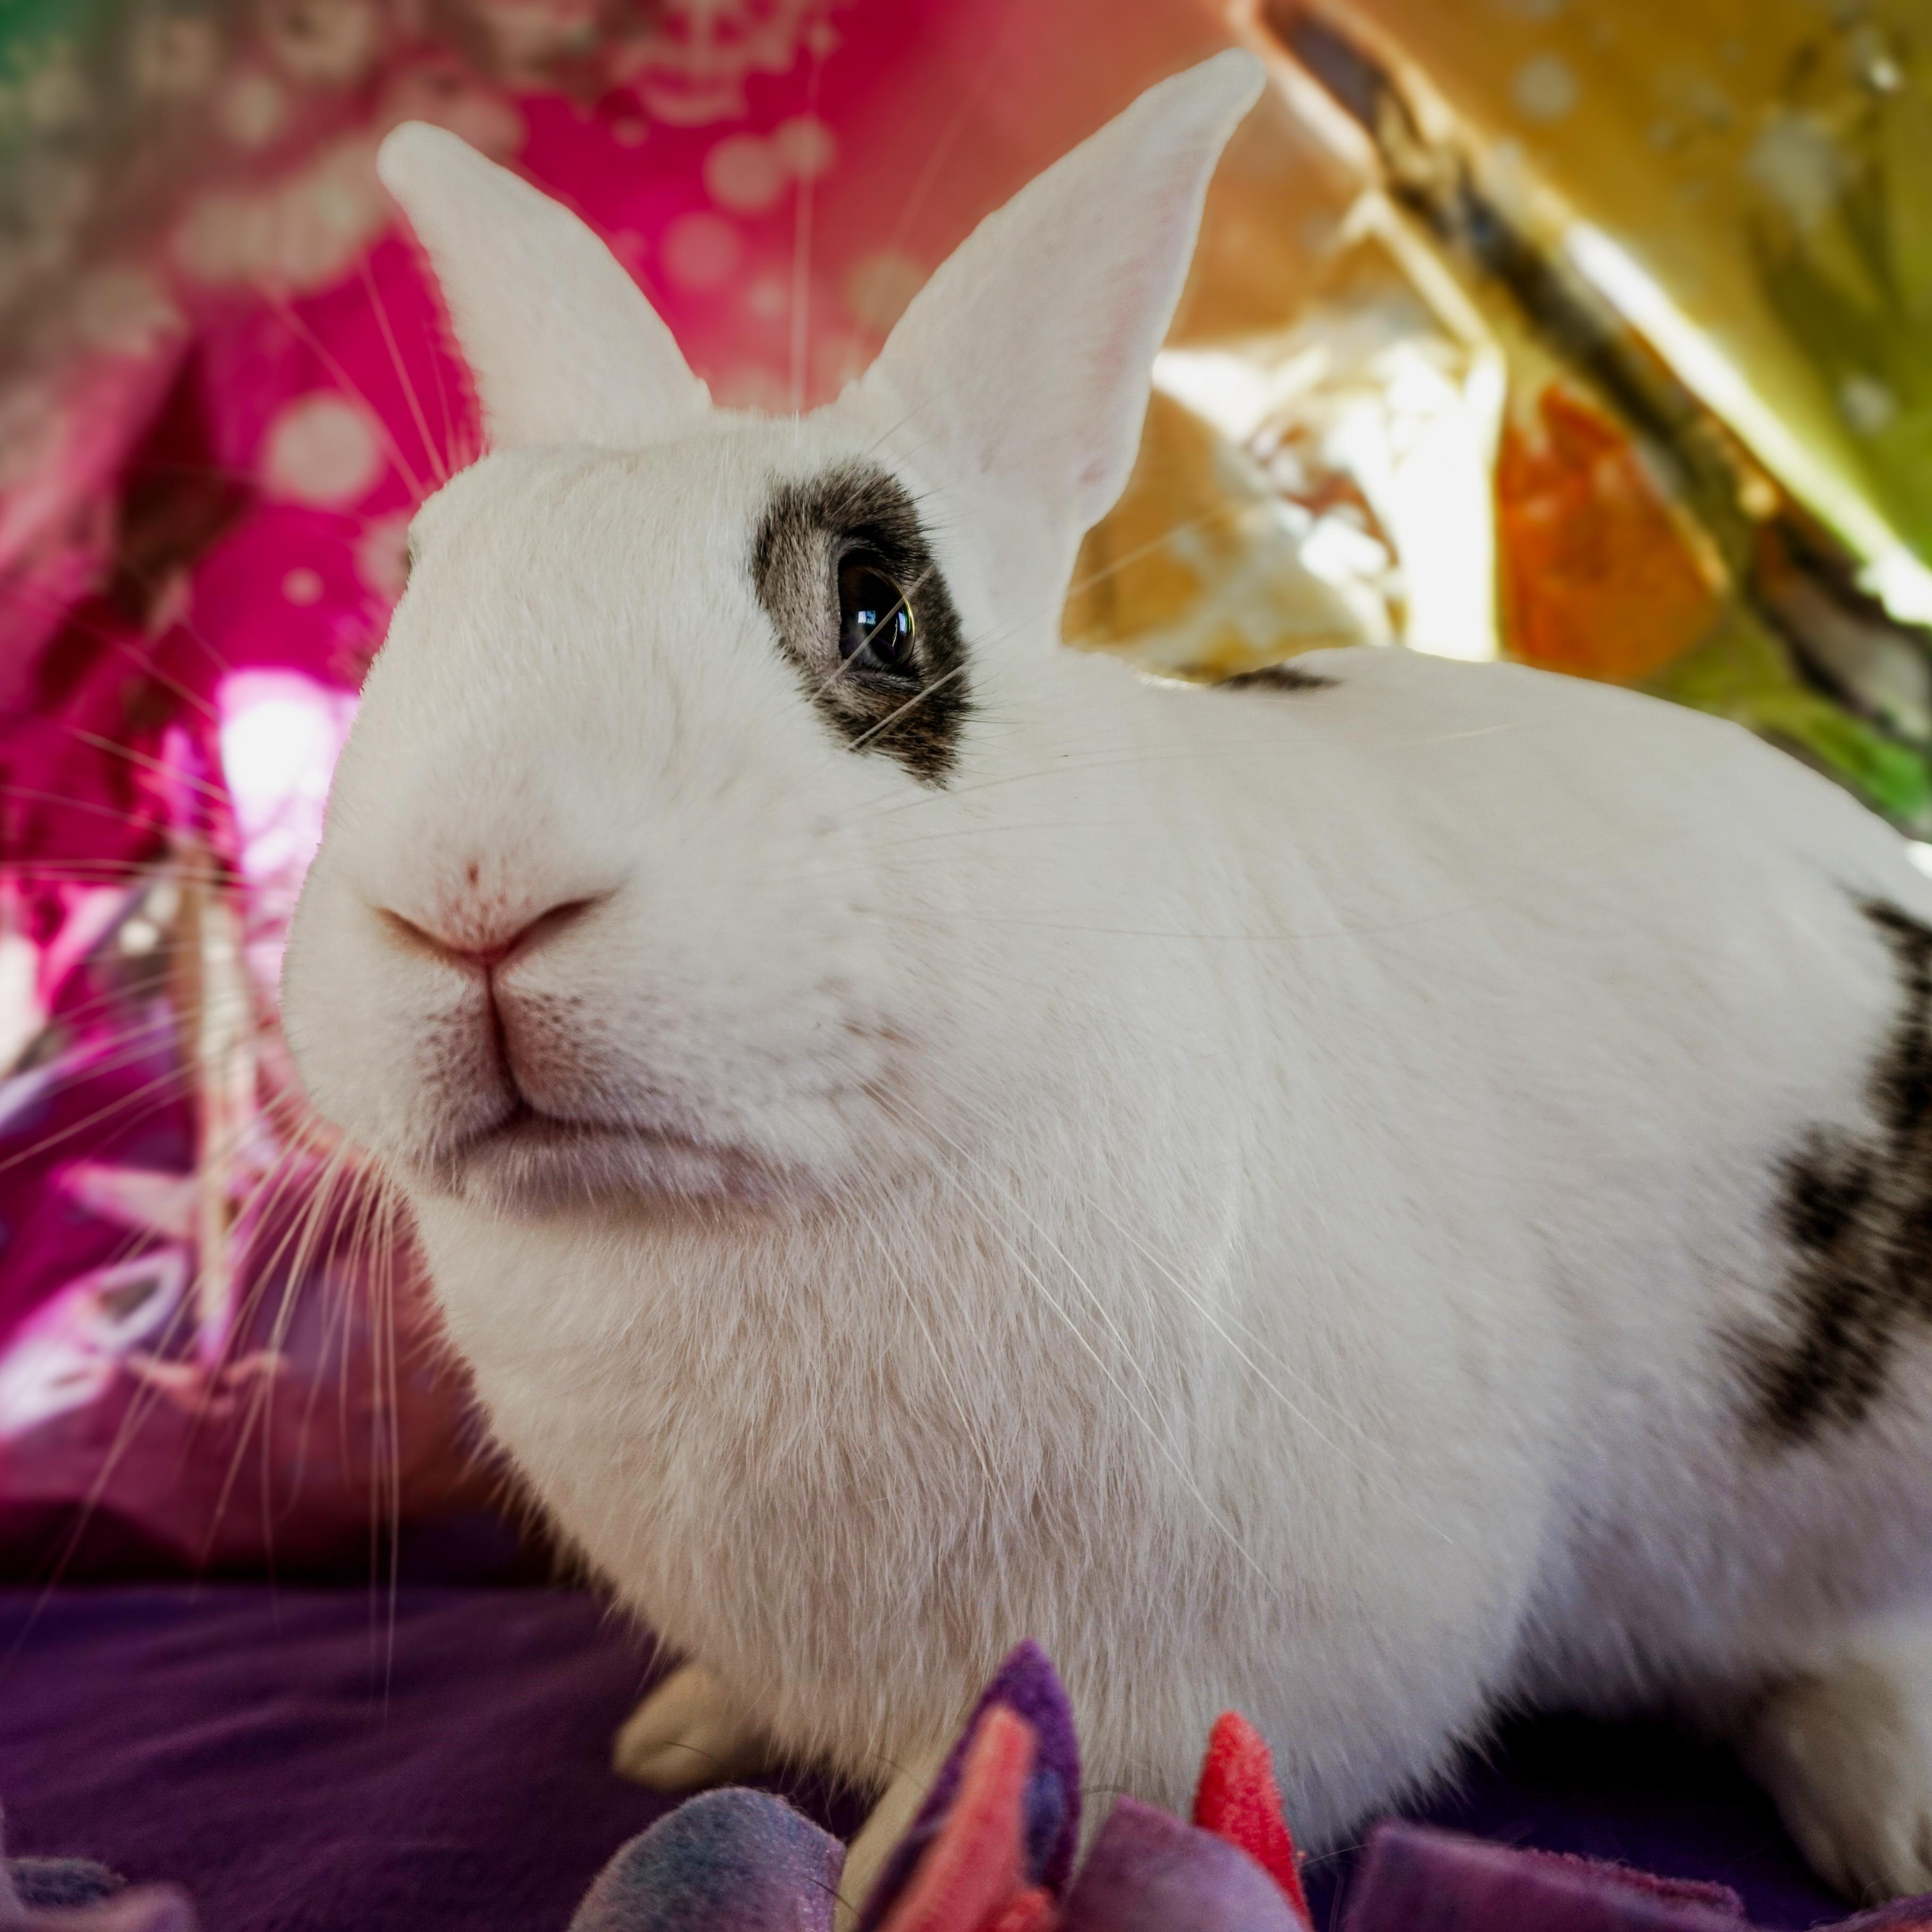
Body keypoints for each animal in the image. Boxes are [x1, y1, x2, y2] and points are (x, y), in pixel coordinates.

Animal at [281, 48, 1932, 1917]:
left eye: (881, 613)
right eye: (412, 587)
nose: (471, 893)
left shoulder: (1222, 1647)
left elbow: (1065, 1769)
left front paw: (891, 1868)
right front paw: (679, 1736)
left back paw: (1886, 1817)